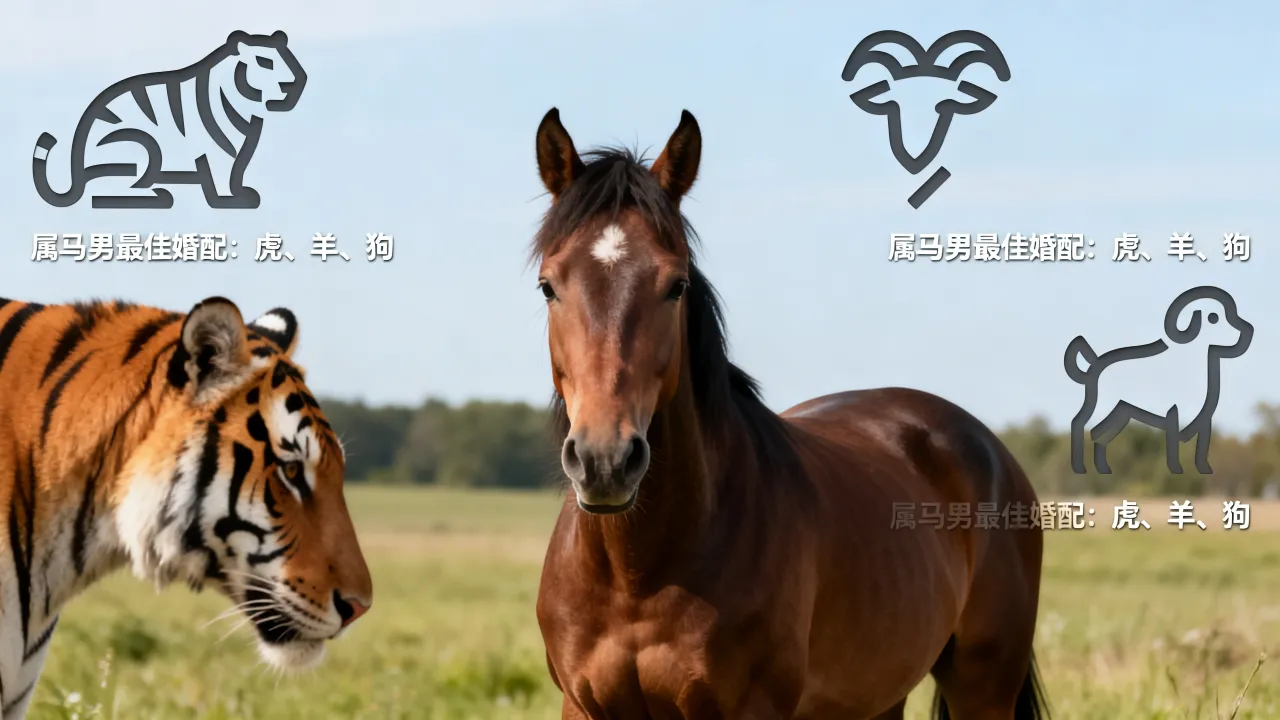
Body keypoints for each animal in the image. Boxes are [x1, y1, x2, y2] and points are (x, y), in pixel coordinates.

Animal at [529, 107, 1050, 720]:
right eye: (548, 286)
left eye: (675, 285)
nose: (604, 461)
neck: (636, 576)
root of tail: (990, 450)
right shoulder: (583, 706)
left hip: (983, 685)